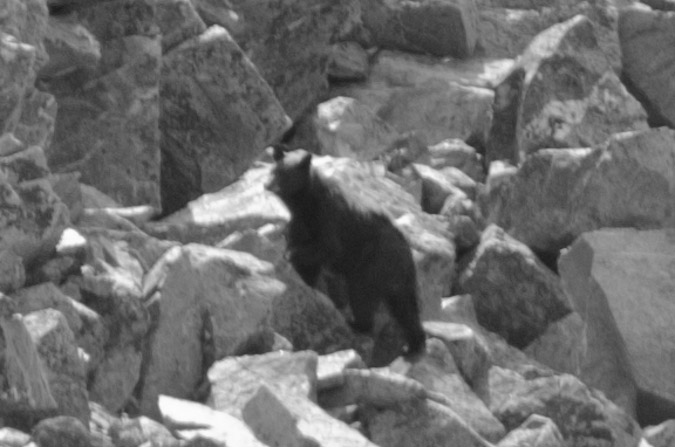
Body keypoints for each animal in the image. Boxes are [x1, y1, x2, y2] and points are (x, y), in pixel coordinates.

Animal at [265, 144, 426, 356]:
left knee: (361, 293)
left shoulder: (328, 215)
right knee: (405, 309)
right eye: (273, 171)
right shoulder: (301, 222)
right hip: (397, 282)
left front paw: (290, 254)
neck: (305, 202)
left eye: (285, 175)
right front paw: (306, 278)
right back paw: (413, 345)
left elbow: (328, 247)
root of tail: (408, 255)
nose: (268, 186)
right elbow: (308, 256)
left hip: (373, 263)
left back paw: (357, 324)